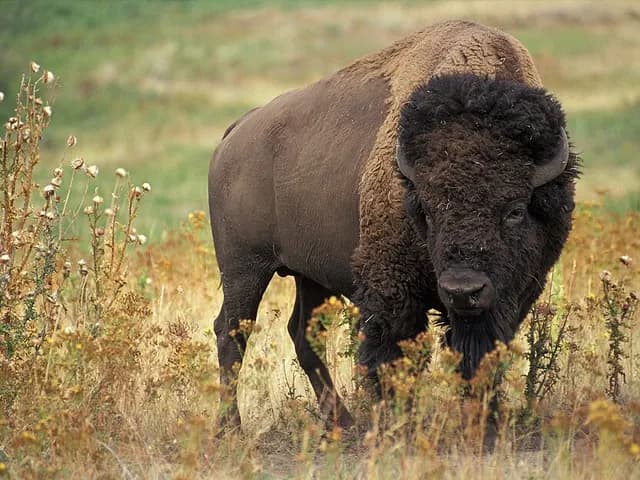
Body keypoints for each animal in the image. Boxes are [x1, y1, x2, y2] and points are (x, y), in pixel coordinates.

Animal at [208, 20, 579, 428]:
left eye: (515, 210)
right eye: (427, 211)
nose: (463, 290)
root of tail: (237, 132)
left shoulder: (512, 296)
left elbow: (480, 357)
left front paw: (484, 420)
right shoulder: (393, 292)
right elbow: (391, 358)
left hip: (309, 275)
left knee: (302, 333)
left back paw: (342, 422)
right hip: (244, 268)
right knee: (232, 332)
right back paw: (231, 427)